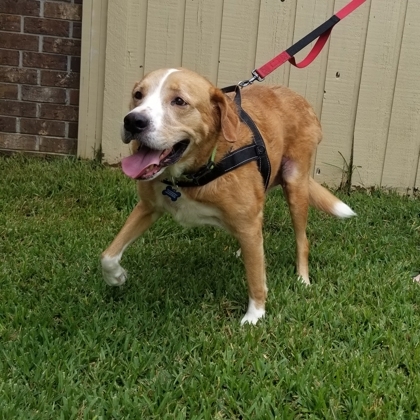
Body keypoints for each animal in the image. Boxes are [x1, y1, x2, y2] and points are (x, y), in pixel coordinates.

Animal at [101, 68, 354, 324]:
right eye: (138, 95)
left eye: (179, 101)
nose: (133, 121)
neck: (195, 172)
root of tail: (300, 98)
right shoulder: (147, 207)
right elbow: (107, 256)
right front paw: (117, 277)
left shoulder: (248, 222)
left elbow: (255, 279)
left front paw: (255, 316)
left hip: (295, 186)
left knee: (302, 240)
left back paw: (302, 278)